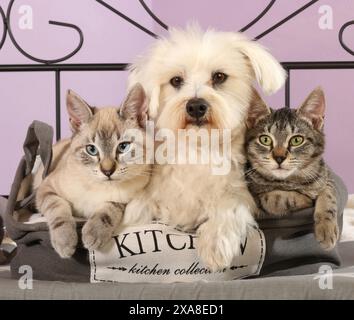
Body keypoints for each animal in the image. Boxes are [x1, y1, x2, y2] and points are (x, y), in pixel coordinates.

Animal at [35, 84, 151, 258]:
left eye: (123, 147)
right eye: (91, 150)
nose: (107, 171)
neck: (98, 186)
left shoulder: (124, 200)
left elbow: (107, 211)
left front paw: (93, 234)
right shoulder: (46, 188)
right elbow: (58, 209)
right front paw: (65, 242)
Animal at [245, 87, 338, 250]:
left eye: (296, 140)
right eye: (265, 139)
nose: (279, 157)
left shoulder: (325, 176)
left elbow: (328, 195)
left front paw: (327, 228)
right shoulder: (252, 199)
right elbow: (274, 197)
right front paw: (305, 199)